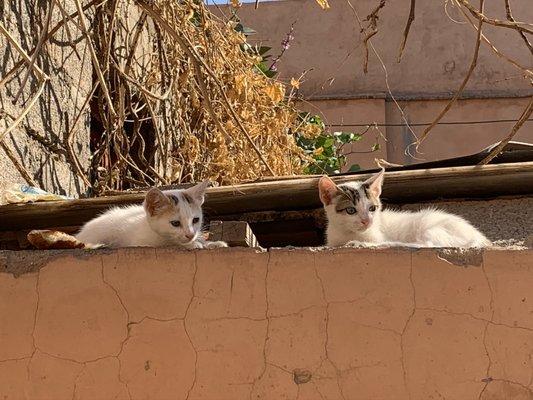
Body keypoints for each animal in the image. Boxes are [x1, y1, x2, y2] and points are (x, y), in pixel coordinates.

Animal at [75, 182, 227, 250]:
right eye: (175, 223)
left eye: (196, 220)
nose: (190, 235)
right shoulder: (141, 242)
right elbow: (169, 244)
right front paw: (192, 244)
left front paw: (212, 243)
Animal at [320, 170, 490, 248]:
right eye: (351, 211)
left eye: (372, 208)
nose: (366, 221)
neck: (346, 233)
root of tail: (482, 238)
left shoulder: (377, 237)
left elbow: (377, 241)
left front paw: (360, 242)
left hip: (432, 227)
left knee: (427, 245)